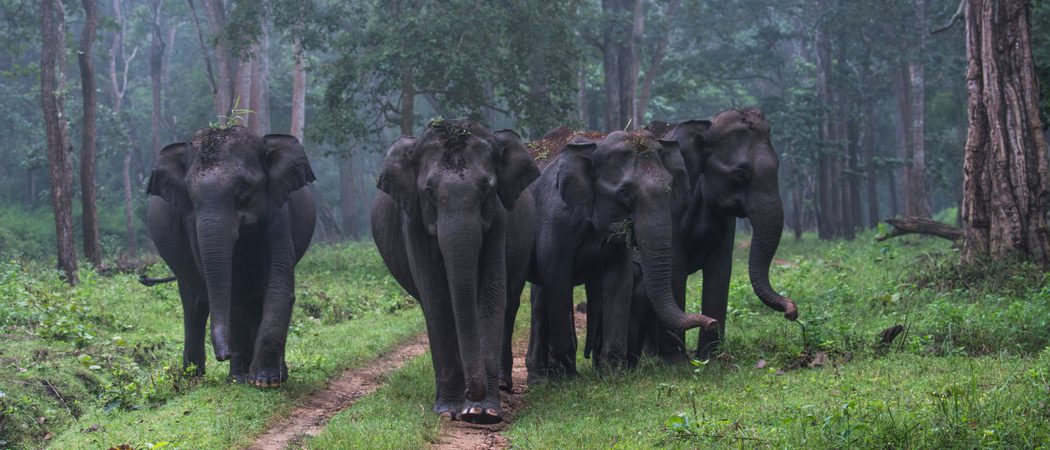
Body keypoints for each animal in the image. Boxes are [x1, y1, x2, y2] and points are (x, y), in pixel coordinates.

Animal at [146, 125, 316, 387]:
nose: (223, 355)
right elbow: (233, 296)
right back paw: (192, 378)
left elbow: (278, 285)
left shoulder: (279, 211)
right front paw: (240, 378)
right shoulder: (191, 223)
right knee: (195, 304)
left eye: (243, 185)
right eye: (189, 193)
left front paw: (266, 380)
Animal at [371, 120, 539, 424]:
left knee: (509, 302)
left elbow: (491, 294)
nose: (471, 395)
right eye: (428, 191)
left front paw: (482, 412)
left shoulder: (499, 219)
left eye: (486, 188)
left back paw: (501, 385)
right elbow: (436, 299)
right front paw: (449, 410)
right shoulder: (412, 222)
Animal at [518, 127, 717, 385]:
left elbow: (619, 280)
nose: (712, 322)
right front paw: (569, 379)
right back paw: (543, 379)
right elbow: (558, 280)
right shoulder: (555, 220)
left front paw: (614, 375)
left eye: (670, 188)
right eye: (625, 193)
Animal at [633, 108, 798, 361]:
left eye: (779, 166)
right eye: (740, 173)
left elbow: (720, 270)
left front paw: (710, 358)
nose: (792, 312)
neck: (705, 125)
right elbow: (674, 269)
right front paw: (677, 361)